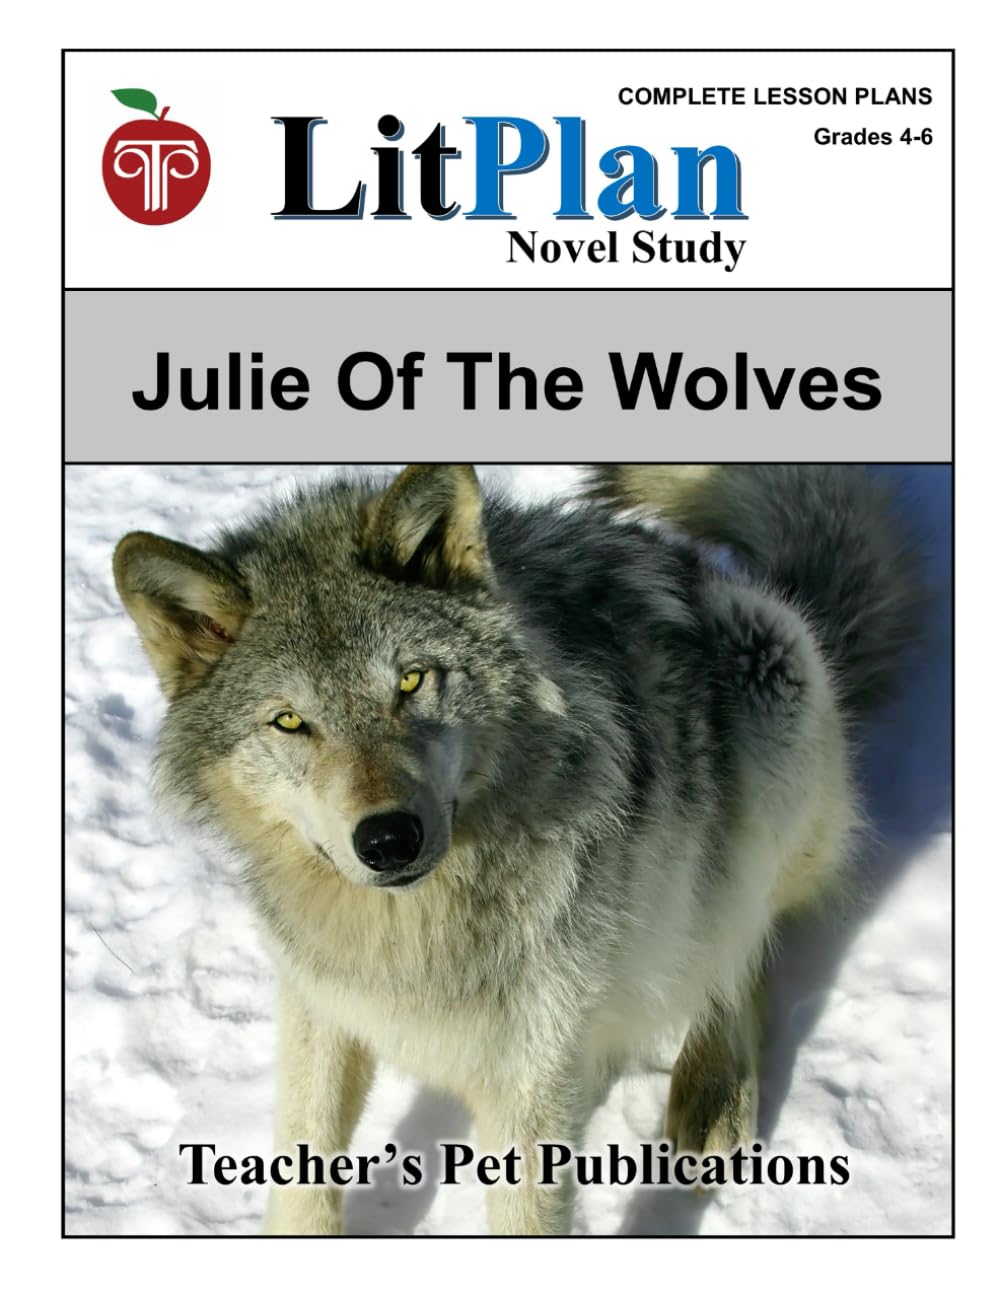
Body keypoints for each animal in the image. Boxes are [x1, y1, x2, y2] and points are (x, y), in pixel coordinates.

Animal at [112, 463, 922, 1235]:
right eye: (289, 721)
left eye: (411, 680)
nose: (387, 838)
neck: (415, 936)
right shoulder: (321, 1002)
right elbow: (302, 1170)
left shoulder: (533, 1068)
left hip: (767, 668)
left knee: (740, 941)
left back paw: (713, 1092)